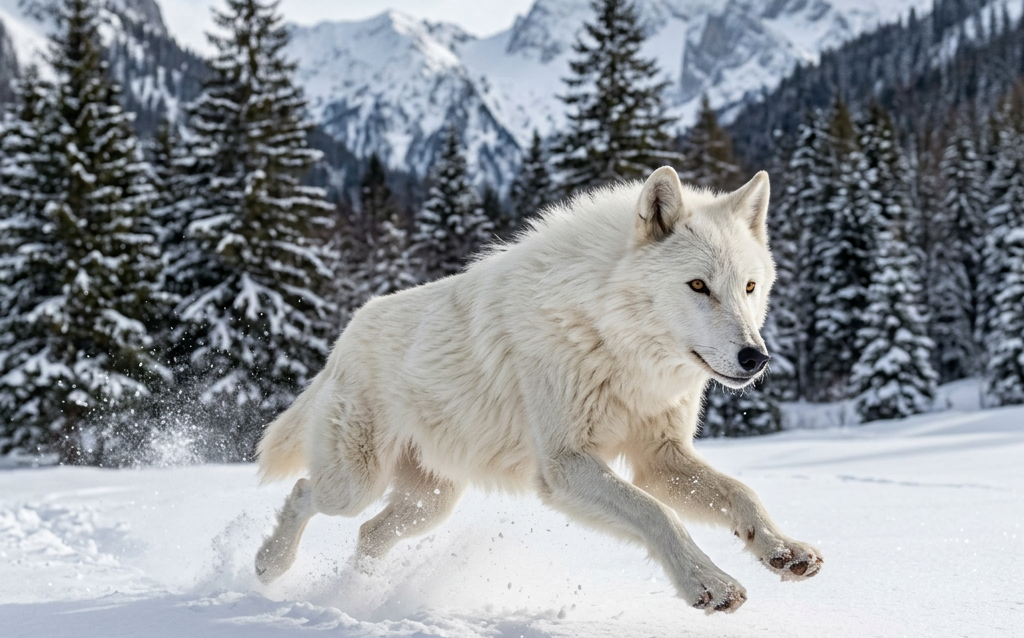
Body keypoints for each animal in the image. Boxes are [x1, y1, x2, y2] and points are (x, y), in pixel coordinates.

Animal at [254, 166, 822, 613]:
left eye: (749, 287)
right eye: (698, 286)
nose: (755, 358)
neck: (613, 341)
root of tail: (345, 337)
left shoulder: (660, 458)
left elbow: (742, 494)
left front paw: (784, 549)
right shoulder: (565, 465)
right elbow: (656, 514)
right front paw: (708, 584)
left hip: (430, 503)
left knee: (369, 534)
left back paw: (359, 593)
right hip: (357, 484)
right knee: (304, 493)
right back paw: (269, 564)